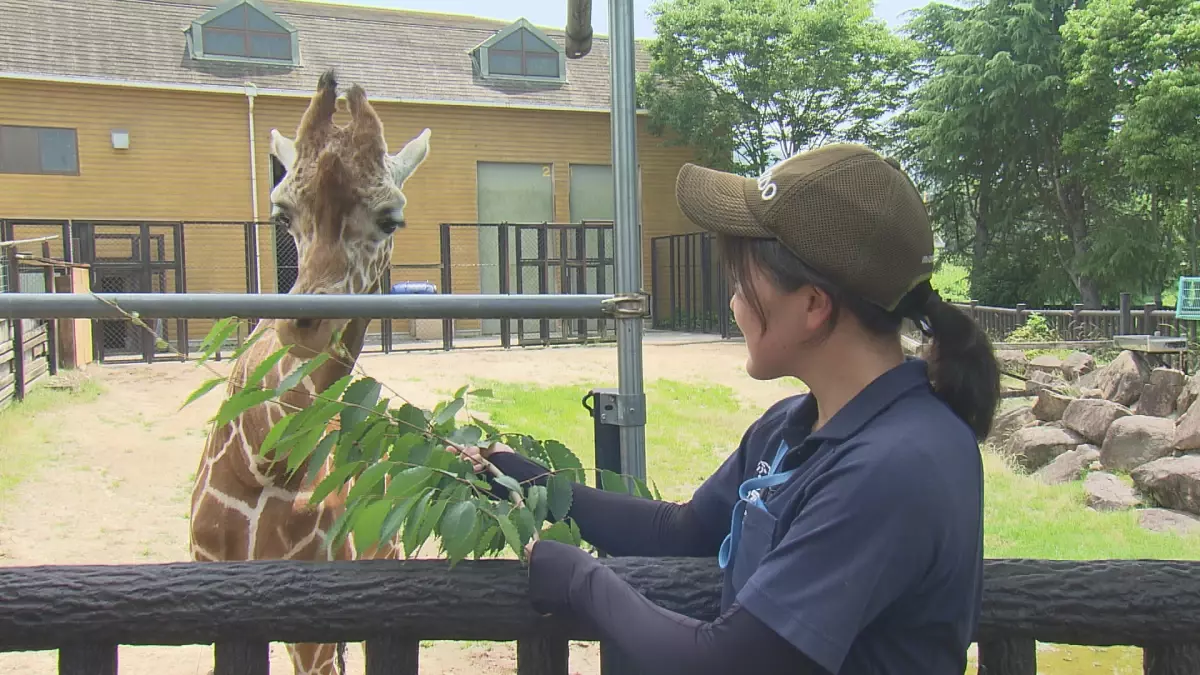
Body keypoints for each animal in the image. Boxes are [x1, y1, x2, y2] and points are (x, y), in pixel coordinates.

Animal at [187, 69, 432, 672]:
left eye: (391, 219)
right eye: (282, 214)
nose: (304, 329)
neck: (265, 459)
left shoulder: (316, 617)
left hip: (383, 555)